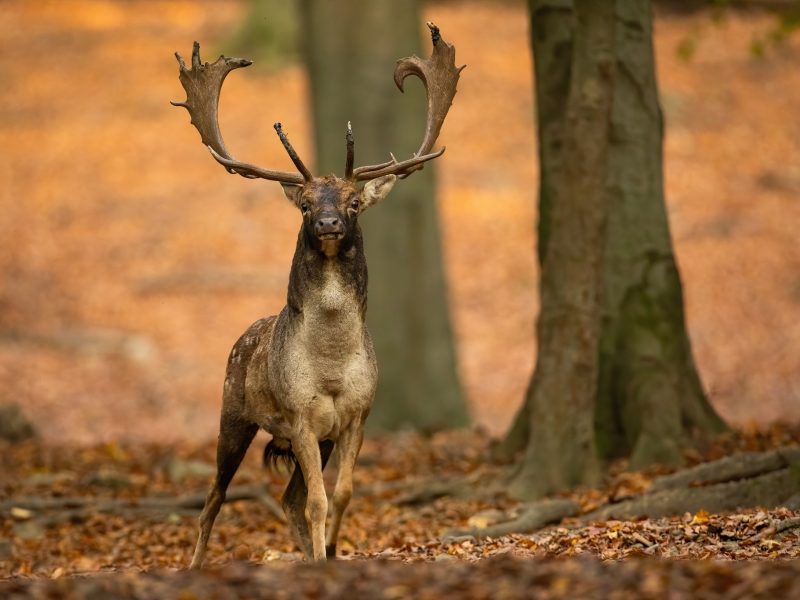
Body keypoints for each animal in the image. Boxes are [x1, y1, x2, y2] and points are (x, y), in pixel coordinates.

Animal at [175, 22, 462, 568]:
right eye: (306, 204)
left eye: (353, 202)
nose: (329, 223)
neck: (329, 364)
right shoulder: (301, 417)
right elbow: (317, 502)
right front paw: (323, 555)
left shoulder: (356, 417)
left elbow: (341, 494)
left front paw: (331, 552)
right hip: (231, 412)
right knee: (213, 500)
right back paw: (196, 565)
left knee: (286, 498)